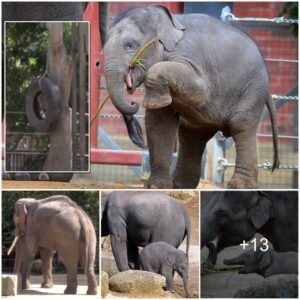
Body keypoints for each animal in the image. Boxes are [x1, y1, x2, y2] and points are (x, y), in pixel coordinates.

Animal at [103, 4, 278, 188]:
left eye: (130, 45)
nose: (133, 103)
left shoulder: (189, 55)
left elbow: (200, 91)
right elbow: (160, 122)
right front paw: (156, 187)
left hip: (252, 88)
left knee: (241, 125)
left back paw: (240, 186)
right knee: (192, 134)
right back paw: (180, 185)